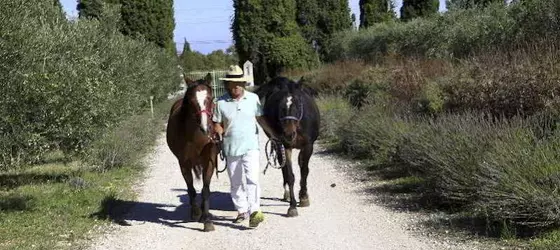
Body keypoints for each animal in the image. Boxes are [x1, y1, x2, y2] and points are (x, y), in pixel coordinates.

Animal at [165, 73, 218, 231]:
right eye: (191, 101)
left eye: (210, 98)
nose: (205, 127)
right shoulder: (184, 164)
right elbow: (191, 189)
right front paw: (195, 213)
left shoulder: (209, 162)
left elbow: (206, 190)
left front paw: (207, 220)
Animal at [254, 76, 320, 217]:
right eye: (280, 107)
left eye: (298, 104)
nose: (289, 134)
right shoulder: (284, 146)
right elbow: (290, 175)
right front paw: (292, 206)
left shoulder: (308, 146)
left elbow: (304, 171)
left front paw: (304, 197)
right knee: (283, 167)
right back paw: (287, 194)